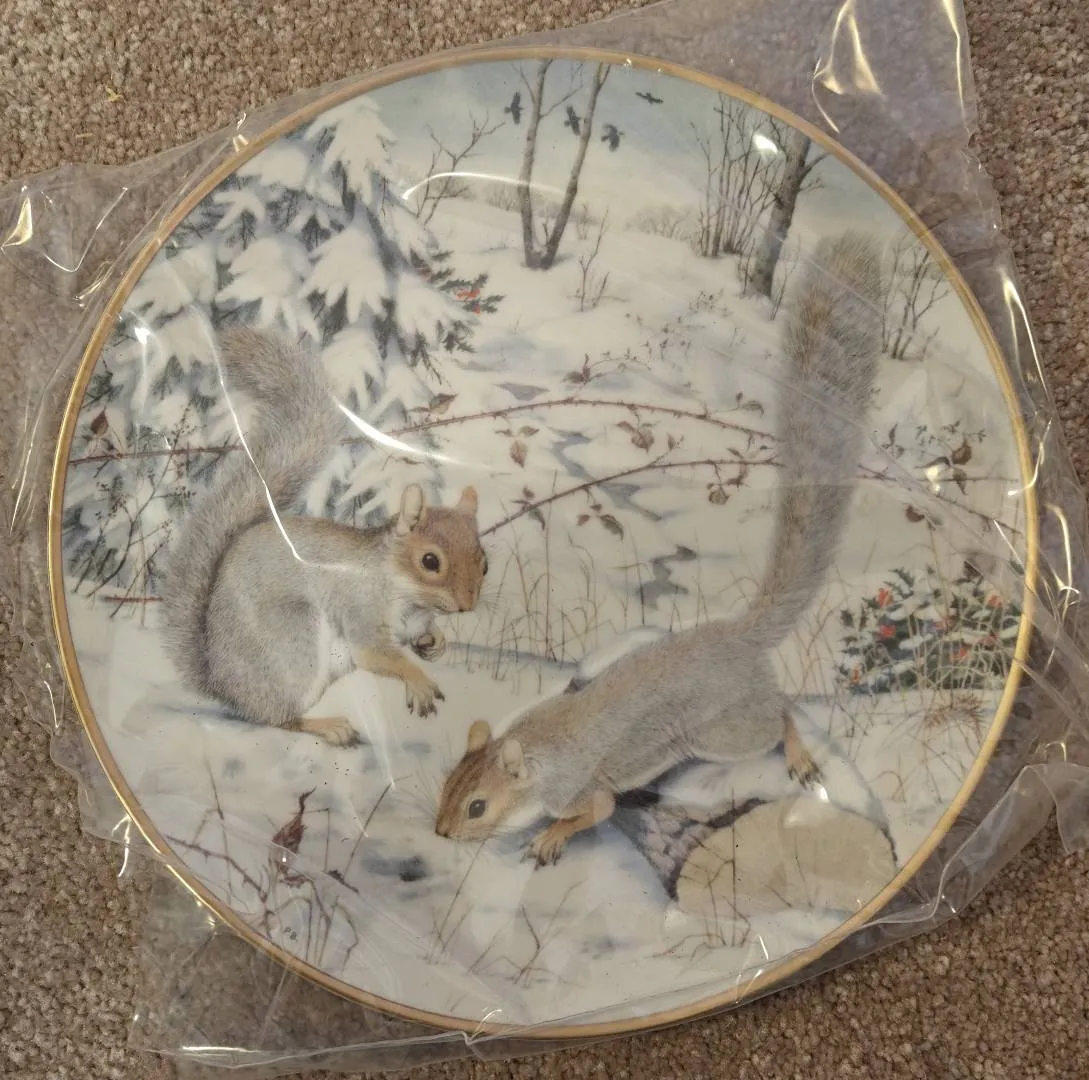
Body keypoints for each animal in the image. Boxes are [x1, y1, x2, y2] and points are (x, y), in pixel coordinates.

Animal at [159, 327, 488, 747]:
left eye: (484, 564)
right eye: (430, 561)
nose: (466, 605)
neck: (404, 591)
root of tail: (221, 682)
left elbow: (422, 638)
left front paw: (435, 644)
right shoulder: (361, 609)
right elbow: (376, 655)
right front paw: (418, 680)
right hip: (294, 642)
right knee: (278, 718)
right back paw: (327, 726)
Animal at [434, 232, 884, 865]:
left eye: (478, 807)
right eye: (448, 783)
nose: (441, 833)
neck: (538, 746)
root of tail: (736, 636)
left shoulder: (583, 789)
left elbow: (593, 813)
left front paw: (549, 839)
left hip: (729, 729)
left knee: (781, 716)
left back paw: (797, 756)